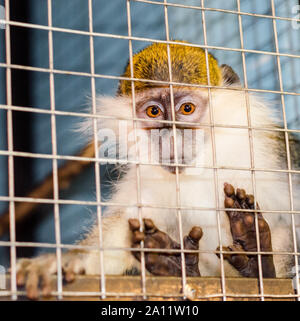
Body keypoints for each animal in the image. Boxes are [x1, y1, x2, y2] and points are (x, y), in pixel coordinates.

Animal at [15, 42, 300, 298]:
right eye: (154, 111)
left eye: (186, 108)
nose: (171, 137)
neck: (201, 166)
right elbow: (122, 227)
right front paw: (59, 262)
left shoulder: (272, 153)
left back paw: (257, 261)